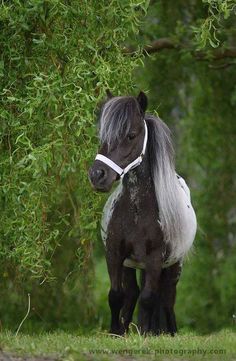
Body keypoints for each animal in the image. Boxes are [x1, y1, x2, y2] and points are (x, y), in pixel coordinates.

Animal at [88, 90, 197, 334]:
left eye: (131, 135)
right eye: (102, 135)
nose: (97, 175)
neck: (137, 211)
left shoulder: (155, 259)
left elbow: (149, 299)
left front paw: (146, 333)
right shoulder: (115, 254)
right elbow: (116, 295)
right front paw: (116, 332)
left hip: (172, 267)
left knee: (166, 298)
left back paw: (167, 332)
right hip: (132, 266)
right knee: (133, 294)